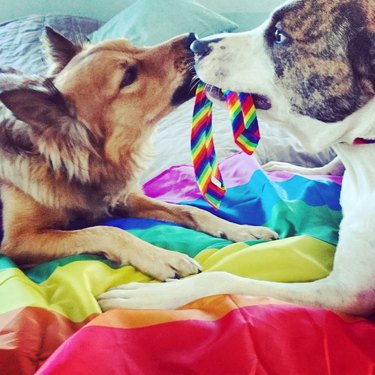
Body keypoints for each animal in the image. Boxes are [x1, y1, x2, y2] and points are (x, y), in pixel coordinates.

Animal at [0, 27, 276, 280]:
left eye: (133, 46)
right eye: (129, 76)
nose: (193, 38)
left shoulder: (124, 197)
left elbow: (192, 210)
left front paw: (239, 229)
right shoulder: (19, 241)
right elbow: (106, 231)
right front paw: (162, 257)